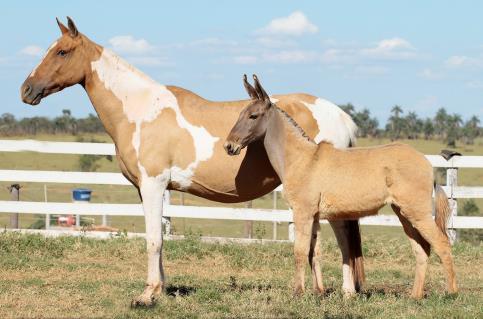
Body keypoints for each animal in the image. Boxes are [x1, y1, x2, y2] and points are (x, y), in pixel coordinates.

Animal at [19, 18, 366, 308]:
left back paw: (348, 293)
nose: (26, 90)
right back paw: (319, 291)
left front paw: (147, 295)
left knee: (344, 238)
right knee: (316, 242)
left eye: (62, 51)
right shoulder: (145, 190)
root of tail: (342, 117)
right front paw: (161, 288)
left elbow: (154, 240)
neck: (141, 110)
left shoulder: (154, 184)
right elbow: (158, 237)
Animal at [225, 75, 460, 300]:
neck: (303, 159)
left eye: (253, 116)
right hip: (404, 213)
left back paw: (451, 293)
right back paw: (415, 296)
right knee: (422, 250)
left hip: (417, 213)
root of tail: (426, 163)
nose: (229, 146)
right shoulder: (315, 217)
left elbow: (300, 251)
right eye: (240, 114)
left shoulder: (303, 213)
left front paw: (297, 293)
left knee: (442, 244)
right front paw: (317, 292)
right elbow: (314, 252)